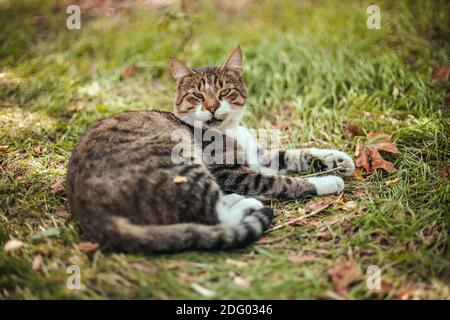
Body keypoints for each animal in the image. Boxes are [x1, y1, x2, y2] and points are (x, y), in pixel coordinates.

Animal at [66, 47, 356, 252]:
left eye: (224, 92)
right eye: (197, 95)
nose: (213, 106)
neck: (230, 130)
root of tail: (93, 216)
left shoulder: (260, 157)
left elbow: (295, 154)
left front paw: (337, 159)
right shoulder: (230, 172)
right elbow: (280, 182)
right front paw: (327, 181)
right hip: (179, 162)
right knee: (212, 215)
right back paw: (248, 204)